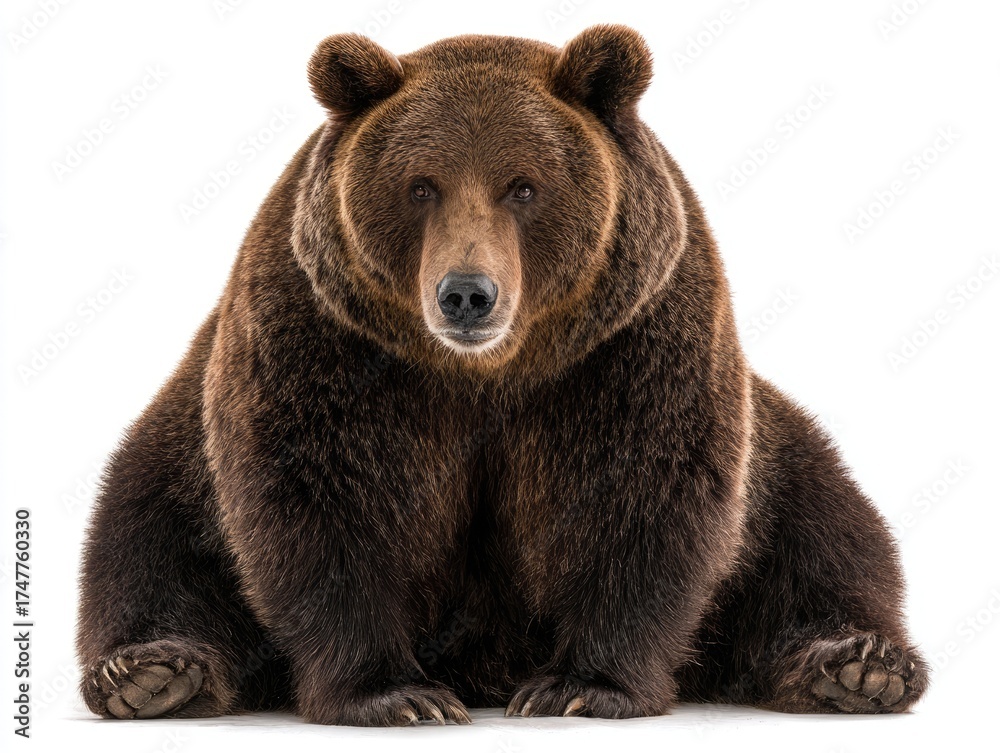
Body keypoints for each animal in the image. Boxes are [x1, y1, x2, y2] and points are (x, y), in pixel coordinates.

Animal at [77, 25, 928, 725]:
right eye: (421, 184)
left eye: (524, 184)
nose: (466, 293)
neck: (486, 374)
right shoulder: (324, 341)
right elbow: (322, 501)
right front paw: (396, 694)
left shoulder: (630, 345)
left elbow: (640, 493)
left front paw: (581, 685)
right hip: (176, 438)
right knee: (143, 538)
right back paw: (151, 672)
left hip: (779, 447)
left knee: (826, 535)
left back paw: (858, 667)